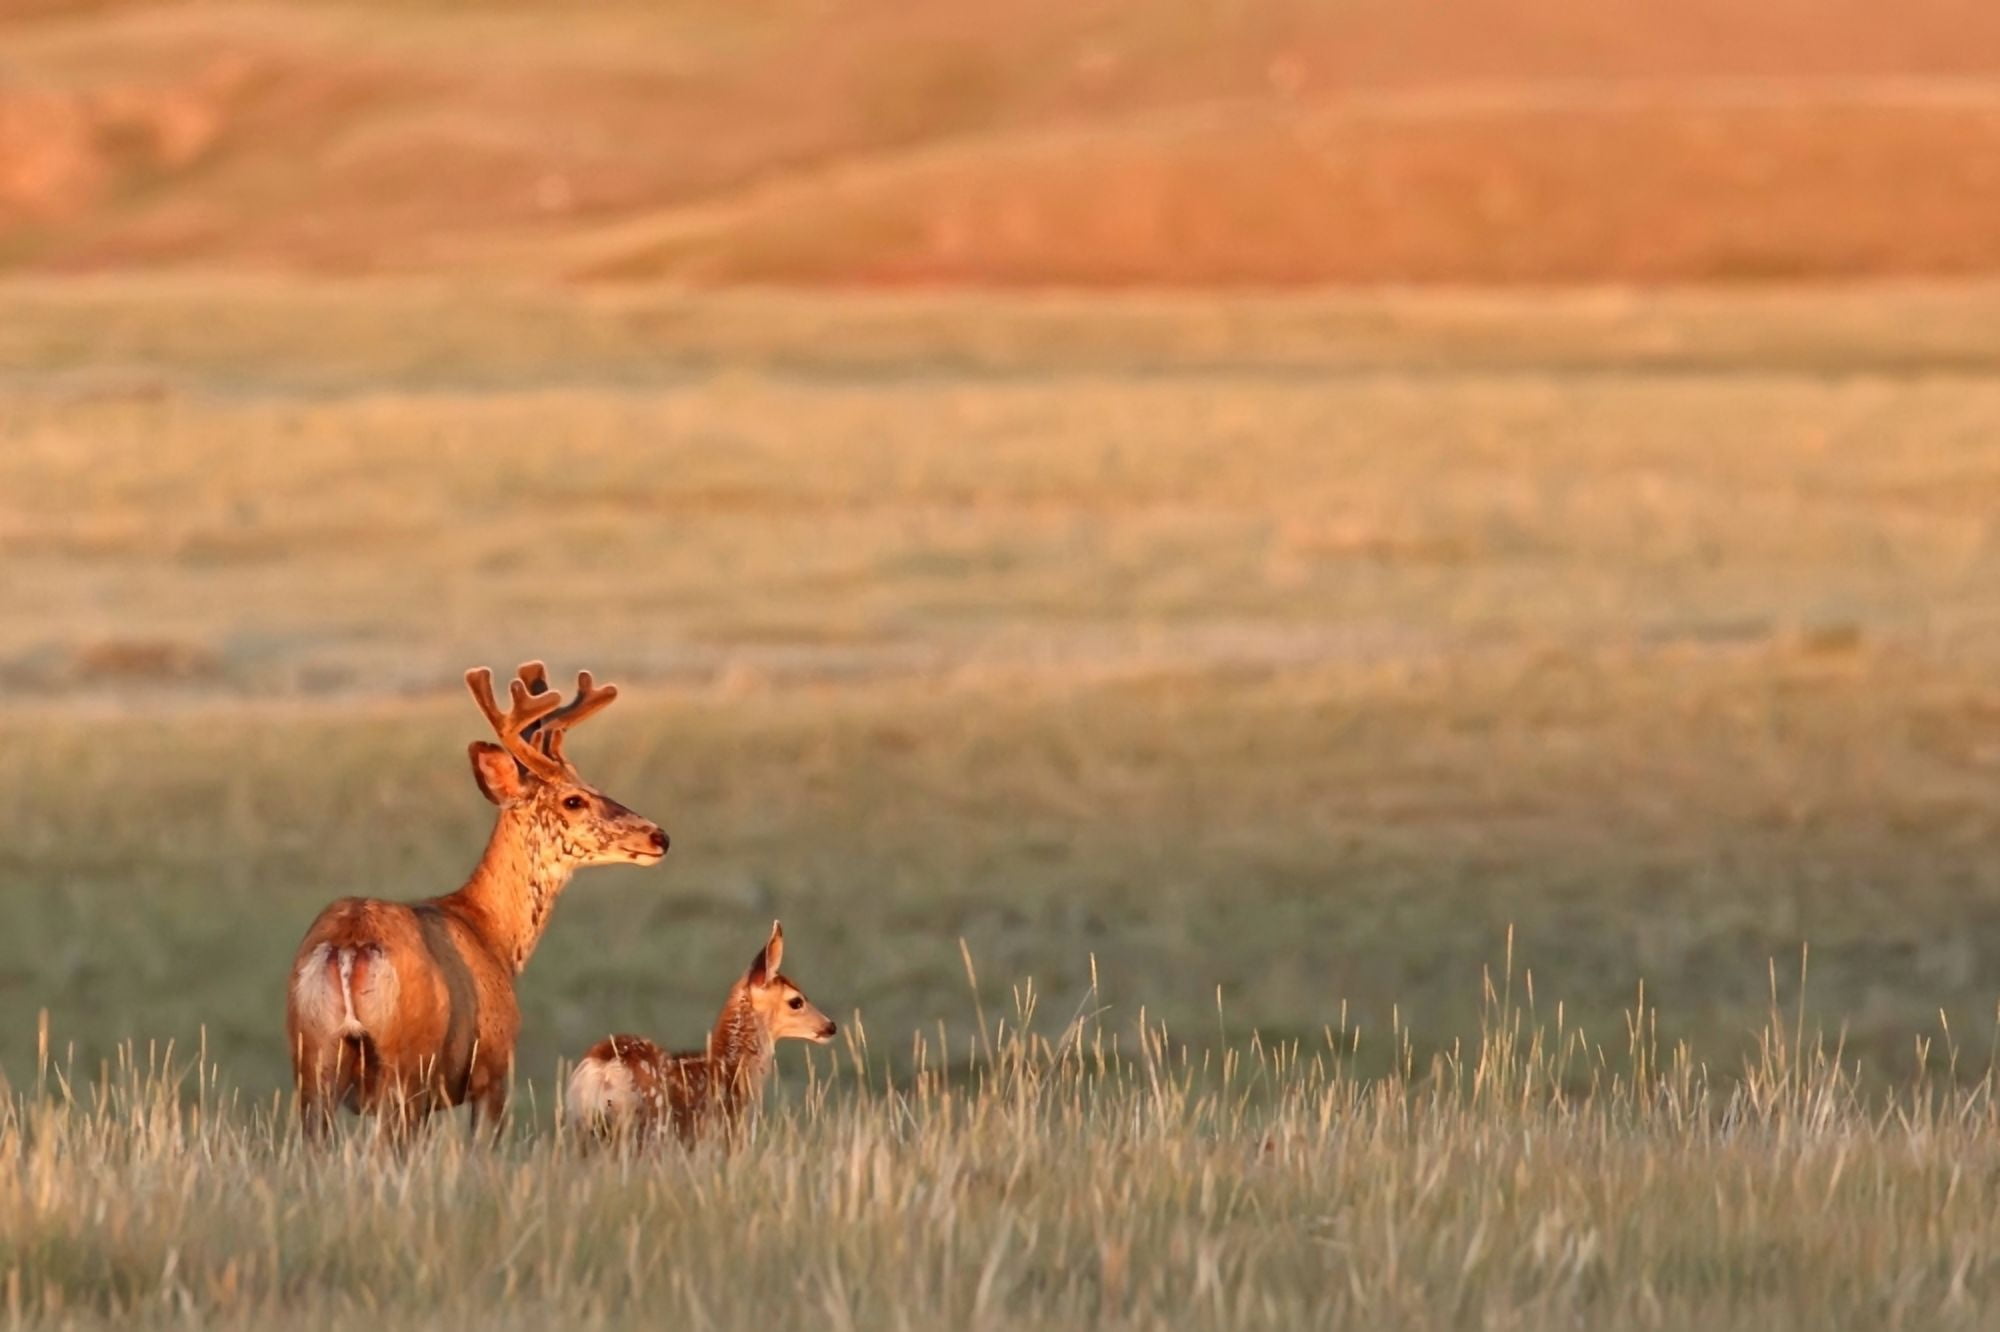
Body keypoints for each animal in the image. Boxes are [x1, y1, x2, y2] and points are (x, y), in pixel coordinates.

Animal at [286, 661, 668, 1141]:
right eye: (573, 799)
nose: (659, 836)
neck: (492, 933)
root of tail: (349, 945)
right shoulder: (493, 1069)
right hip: (405, 1065)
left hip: (314, 1059)